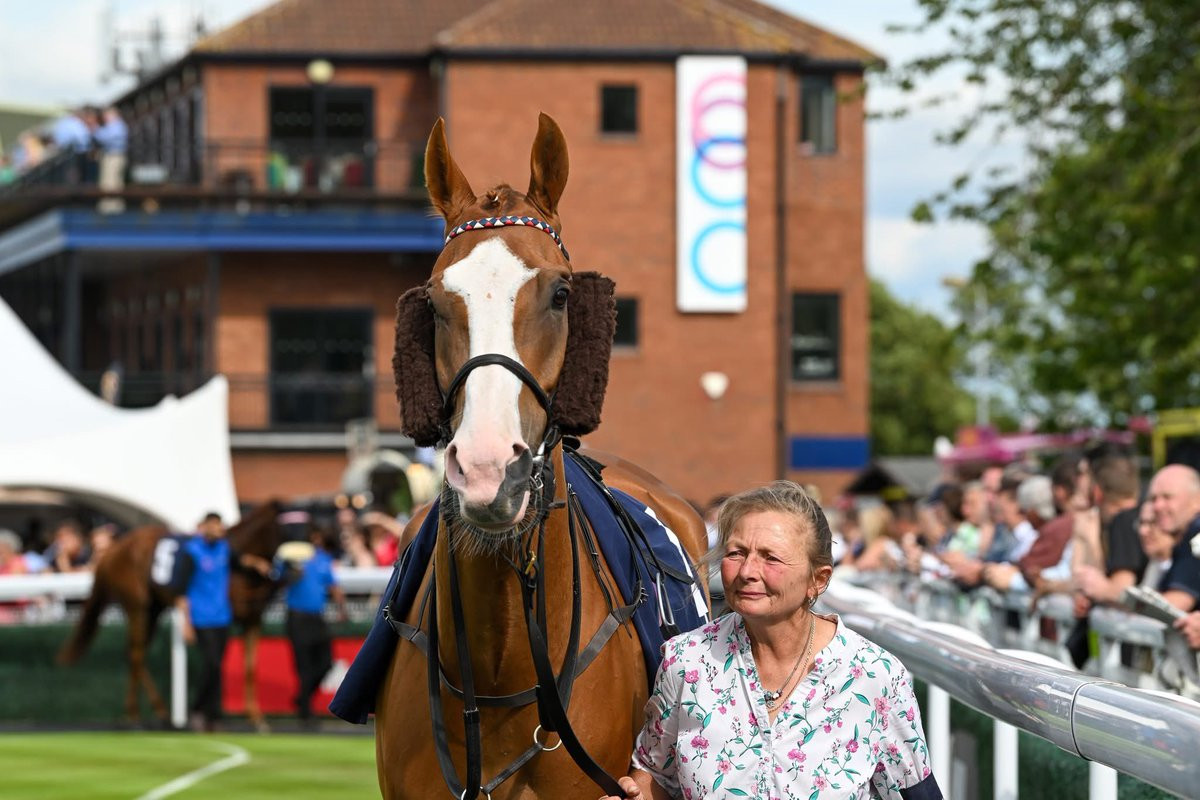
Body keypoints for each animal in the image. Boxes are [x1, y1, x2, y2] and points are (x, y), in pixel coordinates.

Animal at [58, 501, 286, 729]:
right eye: (291, 525)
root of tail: (113, 549)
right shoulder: (217, 619)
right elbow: (215, 659)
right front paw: (206, 715)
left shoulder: (253, 618)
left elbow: (249, 667)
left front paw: (255, 717)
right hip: (138, 606)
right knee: (136, 654)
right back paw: (135, 714)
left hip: (154, 609)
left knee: (134, 654)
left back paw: (159, 712)